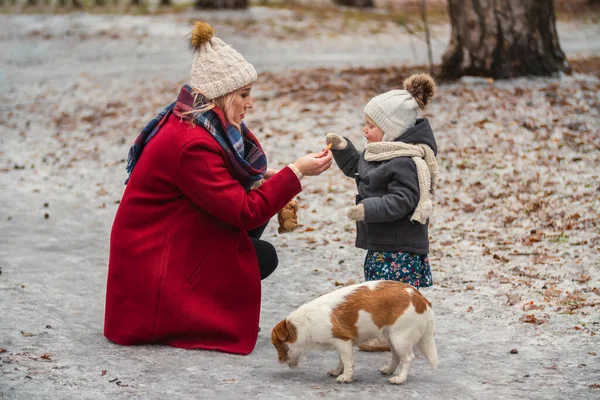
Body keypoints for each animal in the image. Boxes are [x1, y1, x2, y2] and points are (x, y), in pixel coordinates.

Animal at [272, 278, 436, 384]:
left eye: (278, 345)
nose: (279, 362)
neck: (304, 323)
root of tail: (421, 299)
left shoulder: (342, 341)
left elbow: (347, 361)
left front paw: (346, 376)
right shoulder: (343, 344)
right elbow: (341, 360)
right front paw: (338, 371)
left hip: (400, 339)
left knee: (408, 358)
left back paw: (400, 379)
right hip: (392, 338)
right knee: (396, 356)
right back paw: (388, 370)